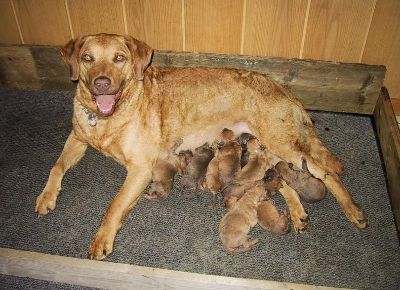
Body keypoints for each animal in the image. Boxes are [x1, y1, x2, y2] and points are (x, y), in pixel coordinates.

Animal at [36, 34, 368, 260]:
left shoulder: (140, 168)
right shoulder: (78, 137)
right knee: (283, 177)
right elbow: (56, 165)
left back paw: (353, 210)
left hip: (282, 141)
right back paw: (299, 214)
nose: (101, 83)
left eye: (119, 58)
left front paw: (101, 240)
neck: (107, 118)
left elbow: (114, 205)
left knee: (324, 172)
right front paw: (46, 197)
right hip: (273, 146)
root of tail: (283, 88)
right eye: (88, 58)